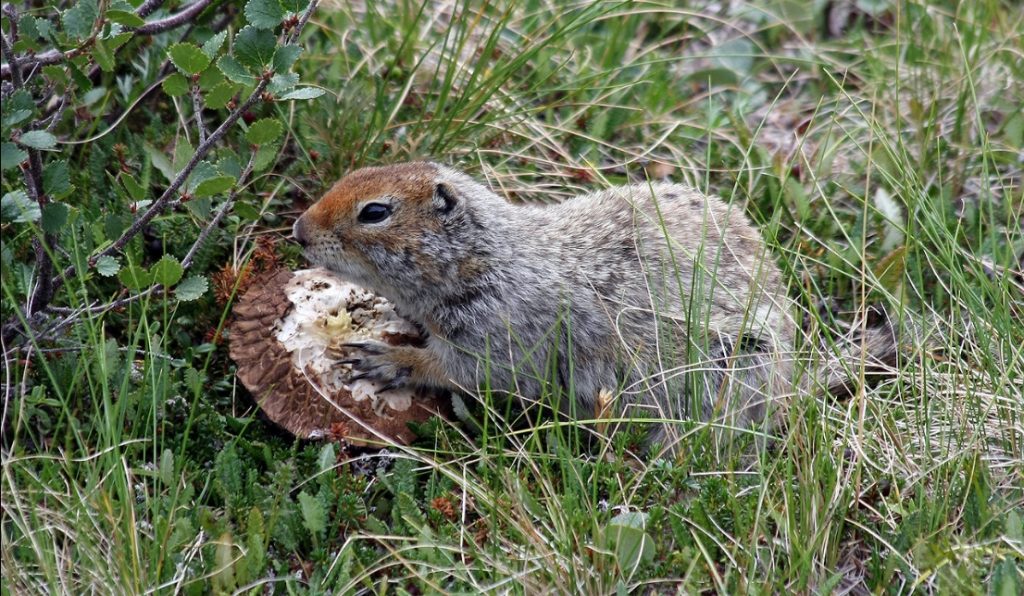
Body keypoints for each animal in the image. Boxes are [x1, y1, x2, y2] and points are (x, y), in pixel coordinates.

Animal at [292, 160, 892, 450]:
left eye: (375, 212)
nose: (298, 230)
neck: (486, 257)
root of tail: (795, 384)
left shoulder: (502, 331)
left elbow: (462, 369)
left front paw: (386, 358)